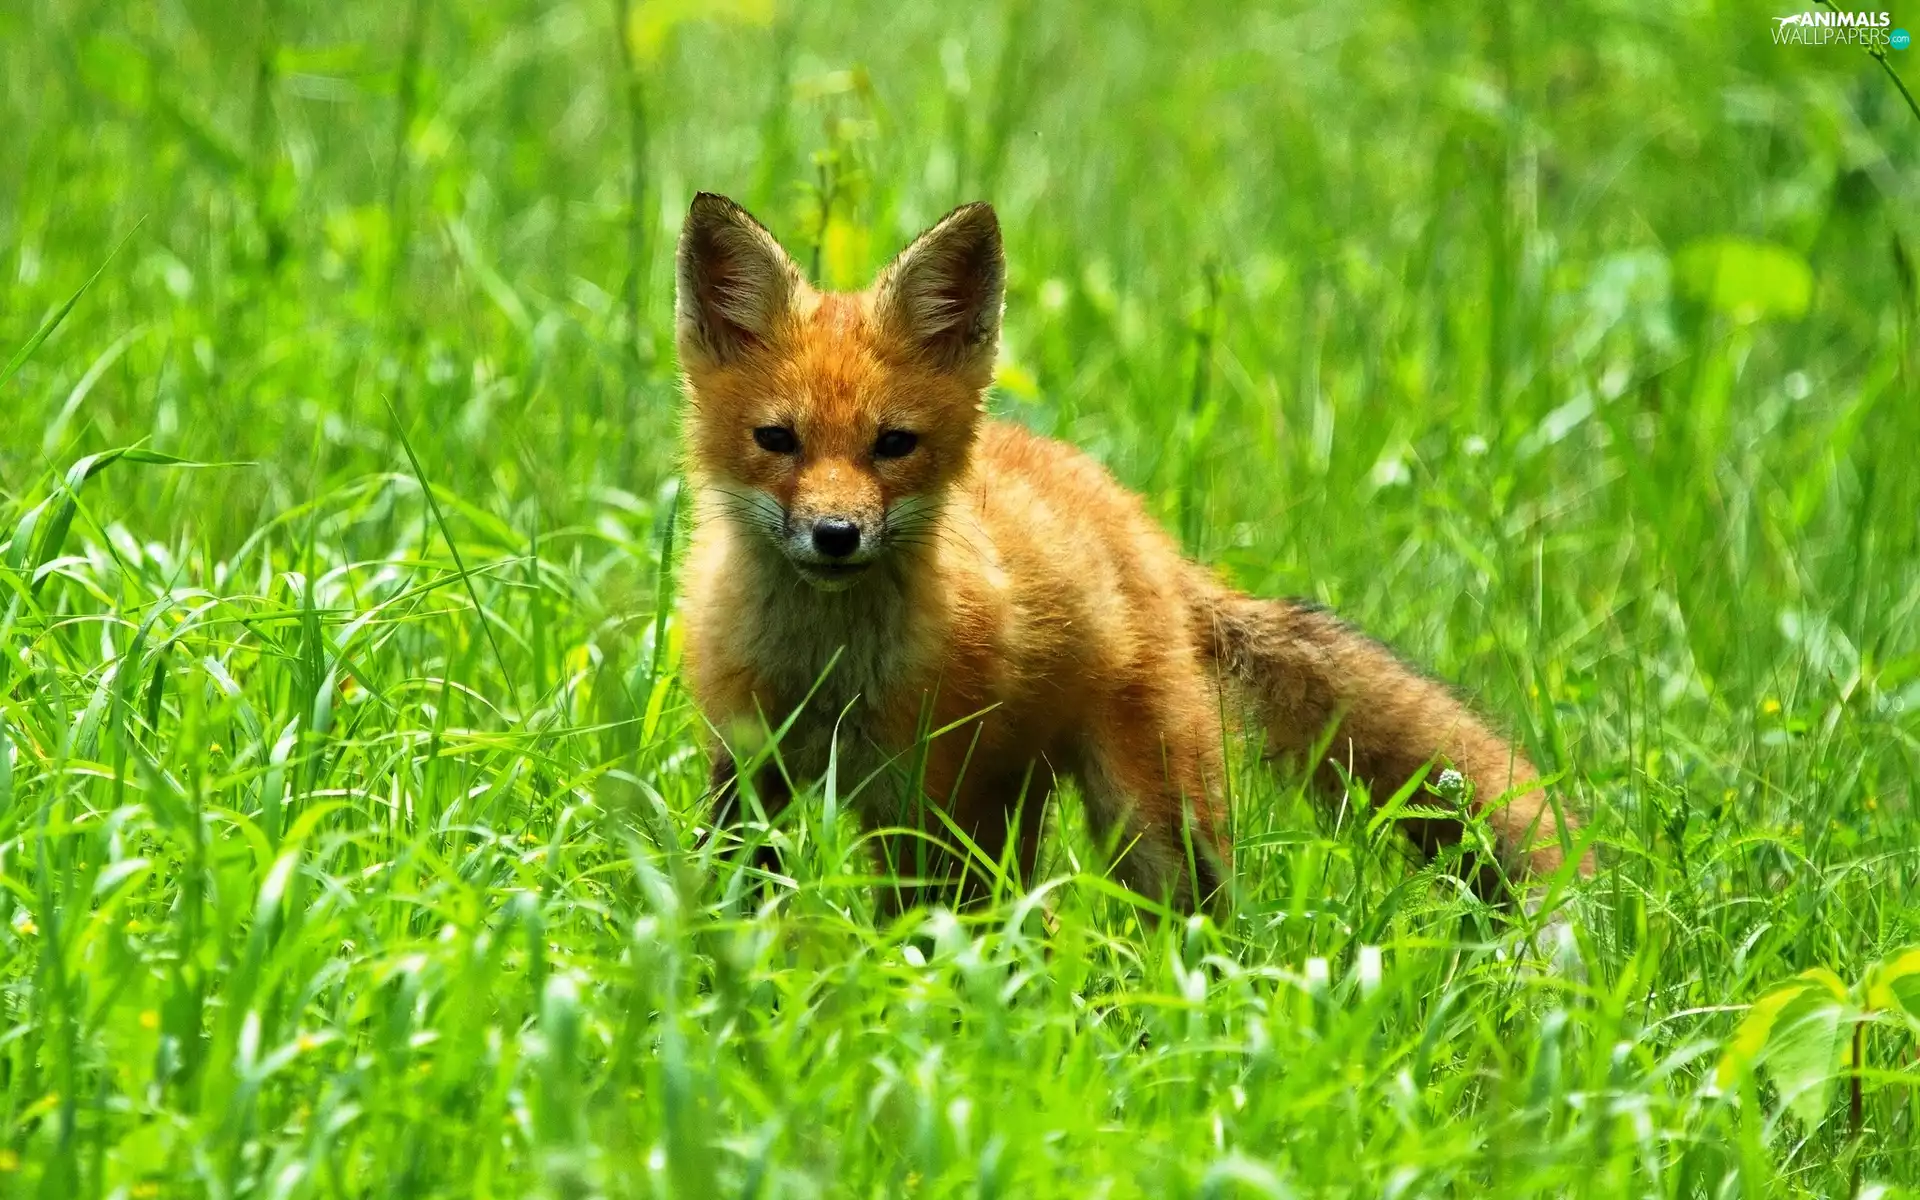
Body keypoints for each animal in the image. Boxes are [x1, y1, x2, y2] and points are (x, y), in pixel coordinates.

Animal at [674, 191, 1590, 915]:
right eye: (777, 440)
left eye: (893, 444)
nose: (836, 535)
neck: (826, 670)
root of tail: (1144, 530)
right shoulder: (746, 766)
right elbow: (733, 894)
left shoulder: (919, 794)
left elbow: (922, 930)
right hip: (1020, 801)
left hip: (1148, 817)